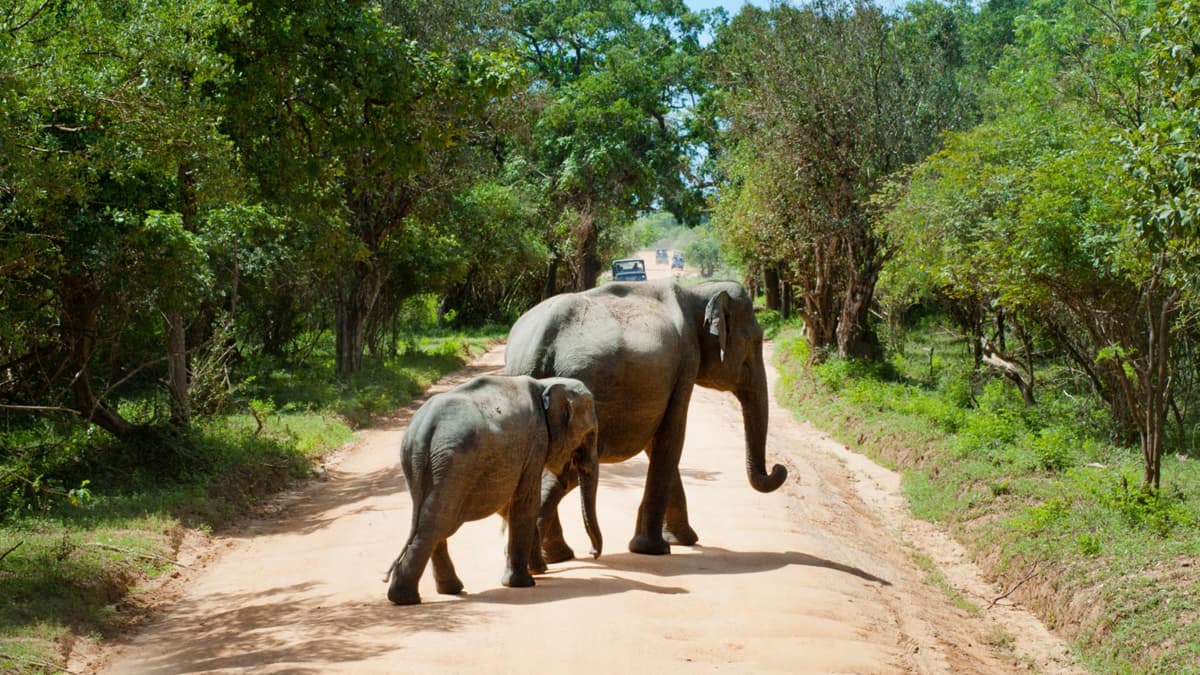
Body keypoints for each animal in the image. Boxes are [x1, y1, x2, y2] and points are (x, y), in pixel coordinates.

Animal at [386, 372, 600, 605]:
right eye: (590, 434)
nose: (593, 553)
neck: (545, 384)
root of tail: (424, 430)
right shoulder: (536, 441)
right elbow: (525, 501)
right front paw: (523, 582)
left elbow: (509, 504)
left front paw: (536, 570)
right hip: (454, 463)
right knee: (438, 522)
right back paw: (407, 598)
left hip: (422, 462)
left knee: (432, 518)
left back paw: (442, 591)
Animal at [504, 276, 787, 554]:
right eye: (756, 341)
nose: (778, 468)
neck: (697, 291)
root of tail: (536, 346)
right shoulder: (686, 361)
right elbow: (671, 438)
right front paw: (654, 548)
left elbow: (657, 442)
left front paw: (681, 540)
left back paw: (556, 554)